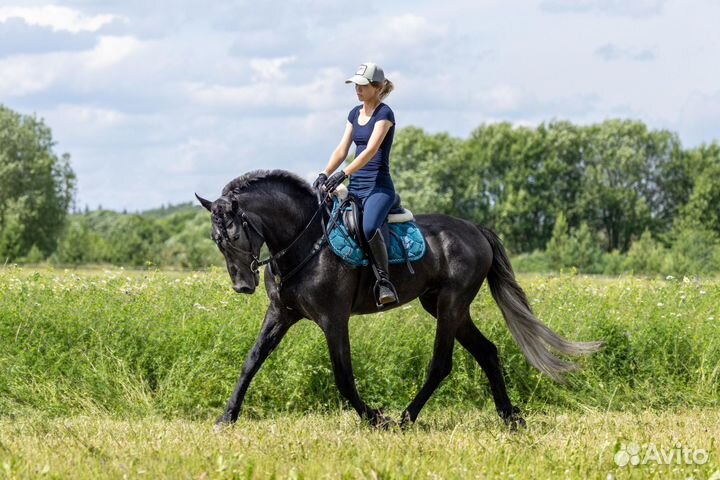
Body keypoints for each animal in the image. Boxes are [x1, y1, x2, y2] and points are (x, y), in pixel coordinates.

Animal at [195, 169, 600, 428]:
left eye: (235, 233)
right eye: (216, 239)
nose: (242, 286)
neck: (304, 242)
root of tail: (475, 229)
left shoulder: (333, 319)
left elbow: (343, 376)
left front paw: (375, 418)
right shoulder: (280, 313)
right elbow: (252, 361)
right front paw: (226, 417)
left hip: (451, 305)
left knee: (441, 364)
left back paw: (406, 418)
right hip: (443, 306)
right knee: (487, 351)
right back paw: (510, 416)